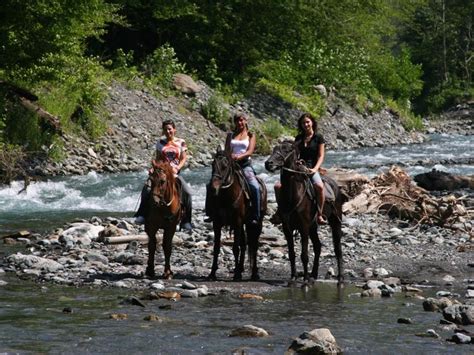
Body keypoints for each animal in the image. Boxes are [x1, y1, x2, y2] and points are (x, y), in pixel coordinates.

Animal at [207, 147, 266, 280]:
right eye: (212, 164)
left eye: (225, 166)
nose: (213, 188)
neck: (226, 196)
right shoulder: (217, 223)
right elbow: (216, 247)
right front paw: (212, 273)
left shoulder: (237, 221)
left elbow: (235, 247)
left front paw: (237, 275)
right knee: (244, 245)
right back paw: (239, 268)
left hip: (257, 222)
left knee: (254, 245)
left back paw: (254, 273)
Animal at [262, 140, 344, 286]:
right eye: (274, 149)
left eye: (286, 150)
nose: (268, 163)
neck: (293, 196)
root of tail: (335, 186)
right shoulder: (287, 228)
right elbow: (291, 253)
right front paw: (293, 278)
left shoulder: (303, 226)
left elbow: (304, 255)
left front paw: (304, 281)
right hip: (313, 226)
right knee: (317, 246)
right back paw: (313, 276)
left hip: (335, 221)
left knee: (337, 249)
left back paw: (339, 279)